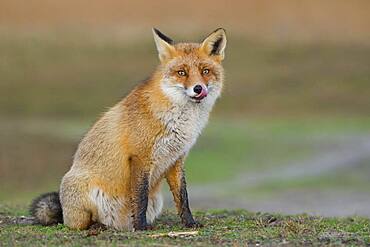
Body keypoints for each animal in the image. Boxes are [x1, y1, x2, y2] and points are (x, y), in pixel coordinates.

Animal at [30, 28, 227, 231]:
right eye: (182, 72)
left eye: (205, 71)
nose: (198, 88)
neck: (181, 119)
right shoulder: (141, 157)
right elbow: (140, 198)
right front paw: (140, 227)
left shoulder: (176, 159)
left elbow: (183, 198)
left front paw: (190, 223)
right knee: (79, 223)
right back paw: (99, 226)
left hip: (156, 201)